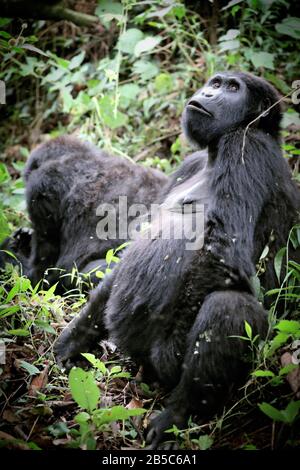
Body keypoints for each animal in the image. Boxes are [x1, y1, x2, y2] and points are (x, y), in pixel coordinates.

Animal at [54, 71, 300, 446]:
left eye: (233, 88)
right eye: (215, 83)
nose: (208, 93)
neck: (215, 150)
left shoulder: (246, 148)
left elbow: (224, 252)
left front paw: (170, 357)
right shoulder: (189, 164)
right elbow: (128, 255)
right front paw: (72, 340)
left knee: (228, 307)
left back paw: (178, 412)